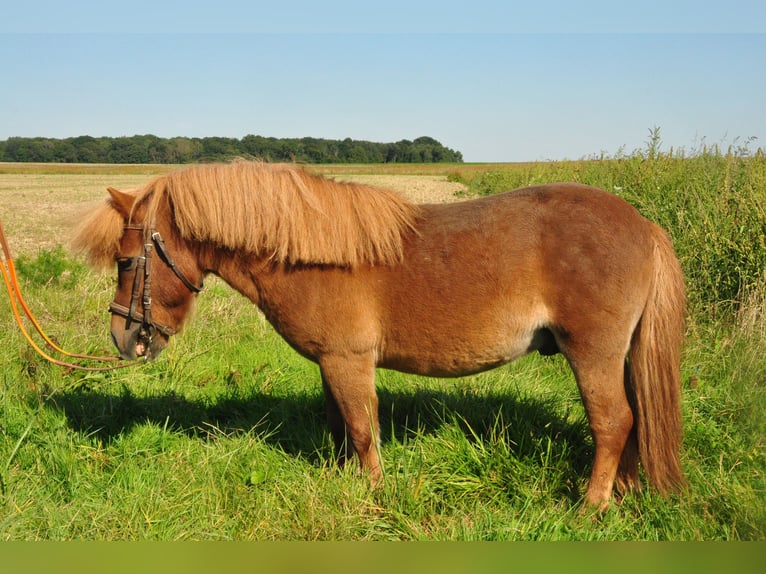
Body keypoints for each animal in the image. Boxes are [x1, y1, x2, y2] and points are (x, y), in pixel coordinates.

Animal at [72, 160, 688, 510]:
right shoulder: (331, 365)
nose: (124, 339)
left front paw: (372, 496)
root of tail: (642, 223)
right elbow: (342, 430)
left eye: (126, 260)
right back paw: (625, 492)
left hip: (593, 355)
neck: (312, 254)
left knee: (614, 423)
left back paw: (592, 505)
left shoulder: (349, 361)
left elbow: (364, 431)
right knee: (634, 419)